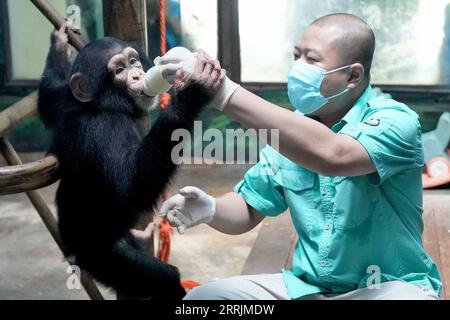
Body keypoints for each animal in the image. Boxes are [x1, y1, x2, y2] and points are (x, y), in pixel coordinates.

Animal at [37, 23, 221, 298]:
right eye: (119, 70)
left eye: (133, 61)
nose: (136, 75)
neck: (104, 105)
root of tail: (72, 253)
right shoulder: (106, 129)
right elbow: (131, 185)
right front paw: (191, 93)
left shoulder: (61, 103)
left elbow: (50, 95)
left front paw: (60, 44)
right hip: (102, 258)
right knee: (162, 277)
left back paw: (143, 240)